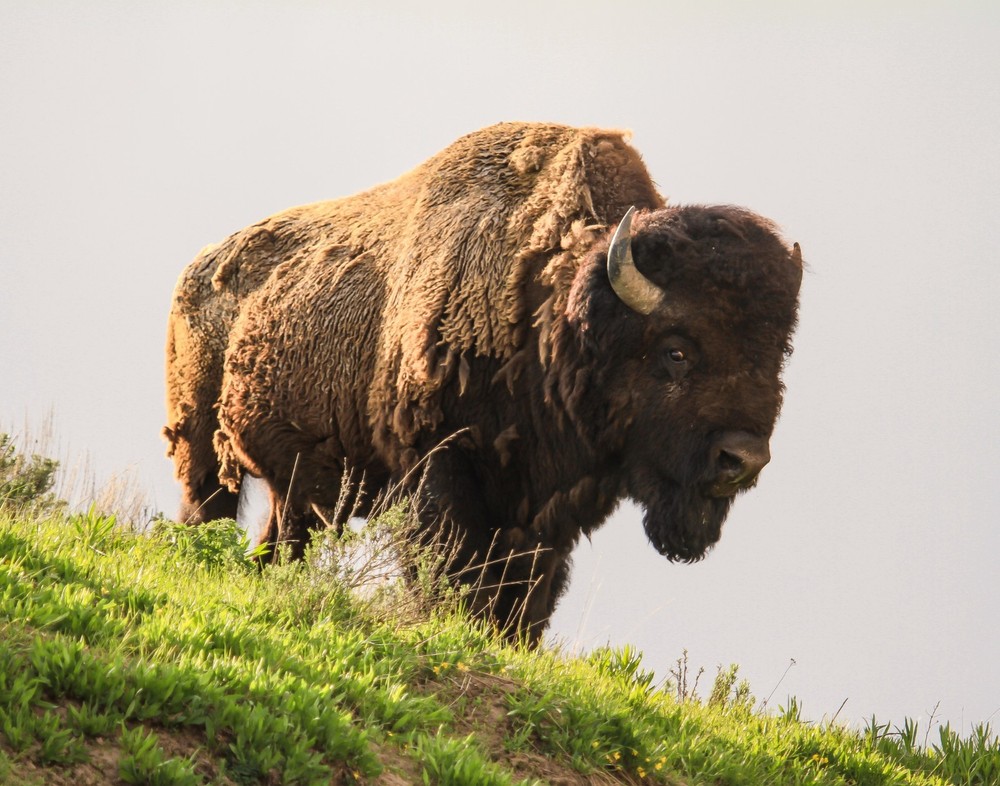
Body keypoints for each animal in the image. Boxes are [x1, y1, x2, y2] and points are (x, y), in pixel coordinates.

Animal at [164, 122, 802, 641]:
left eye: (777, 357)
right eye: (676, 351)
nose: (742, 460)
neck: (553, 313)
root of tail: (197, 270)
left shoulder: (545, 516)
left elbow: (526, 599)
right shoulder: (438, 468)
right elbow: (451, 570)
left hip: (300, 490)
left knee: (281, 539)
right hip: (200, 447)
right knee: (208, 508)